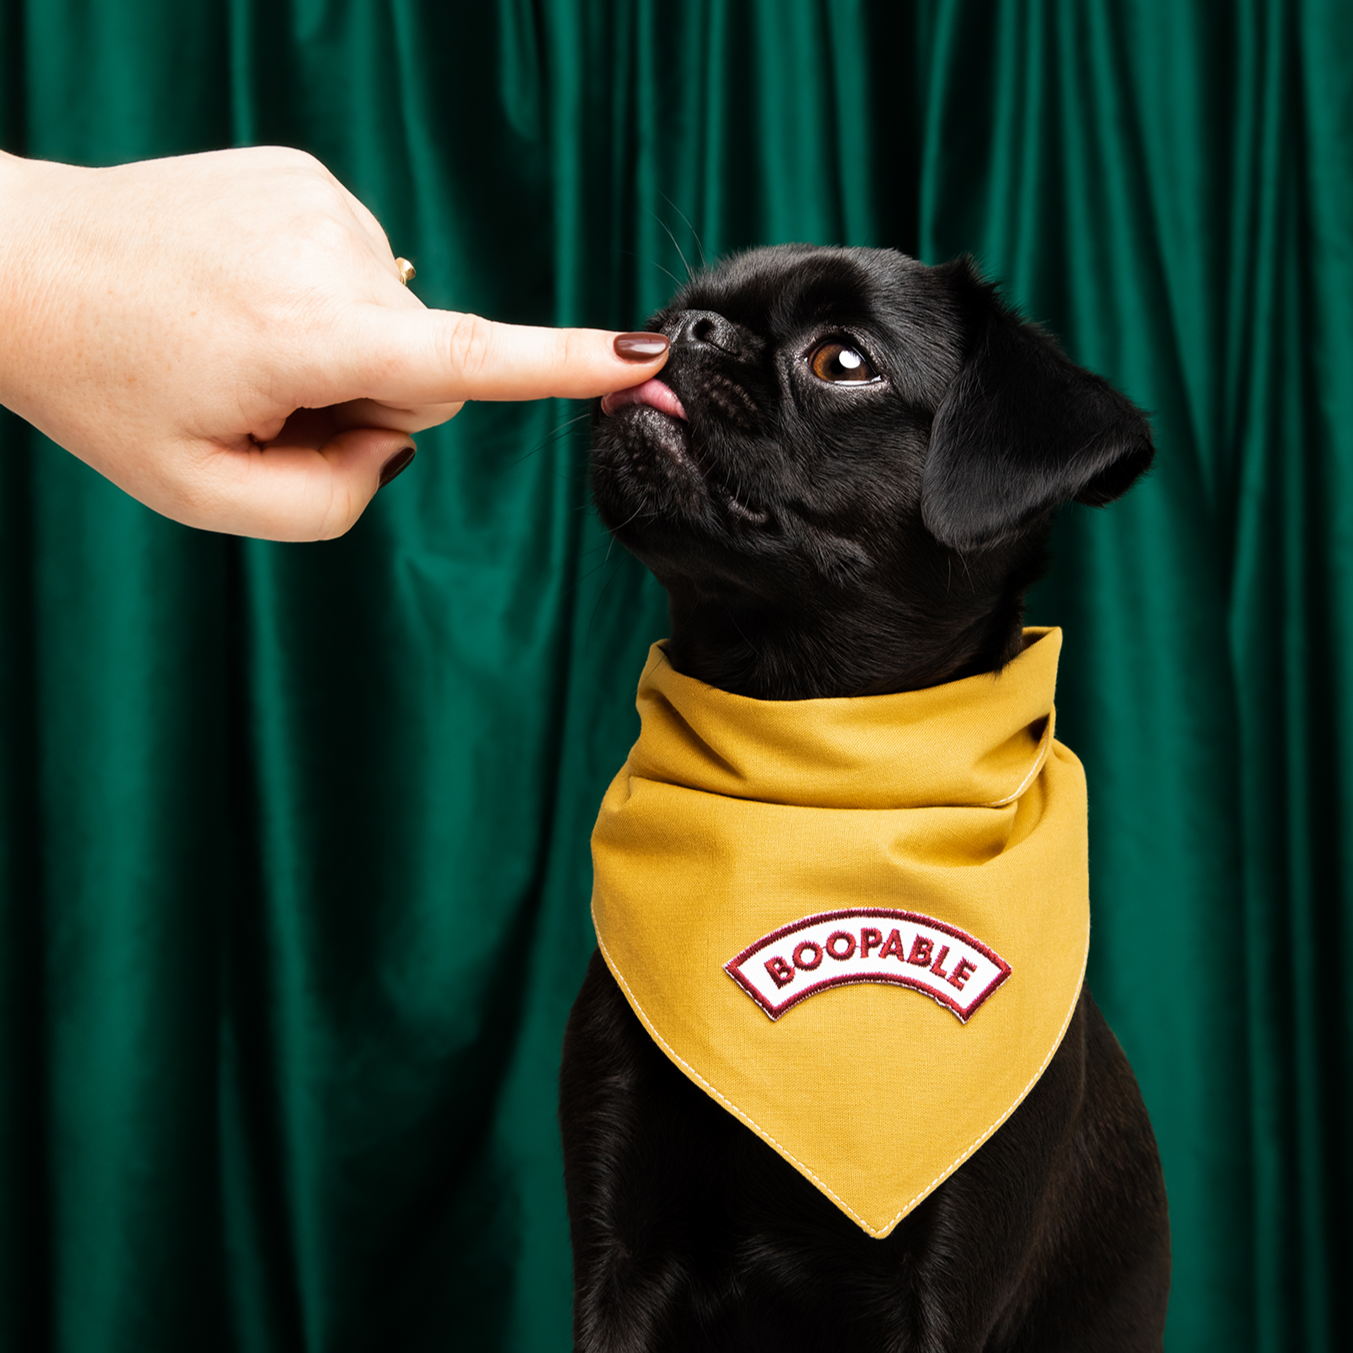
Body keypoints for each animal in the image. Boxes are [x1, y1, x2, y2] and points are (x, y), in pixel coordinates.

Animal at [562, 248, 1174, 1353]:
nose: (691, 329)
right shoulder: (619, 1253)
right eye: (671, 311)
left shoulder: (940, 1290)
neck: (817, 775)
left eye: (841, 361)